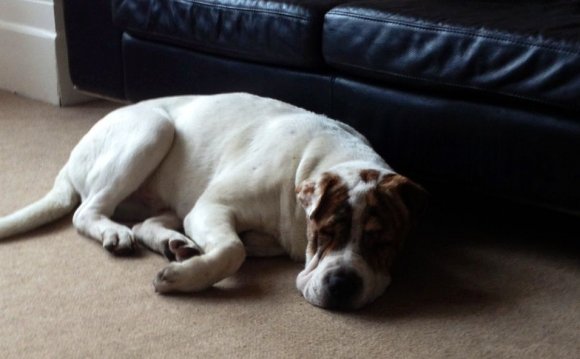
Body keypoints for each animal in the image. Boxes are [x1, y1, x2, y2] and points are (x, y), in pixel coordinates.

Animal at [0, 94, 426, 310]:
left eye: (382, 243)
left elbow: (240, 245)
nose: (342, 284)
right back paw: (115, 234)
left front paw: (185, 260)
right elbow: (232, 251)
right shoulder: (212, 208)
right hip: (153, 128)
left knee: (147, 221)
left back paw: (173, 243)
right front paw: (182, 279)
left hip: (168, 195)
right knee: (86, 212)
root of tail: (71, 159)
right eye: (325, 233)